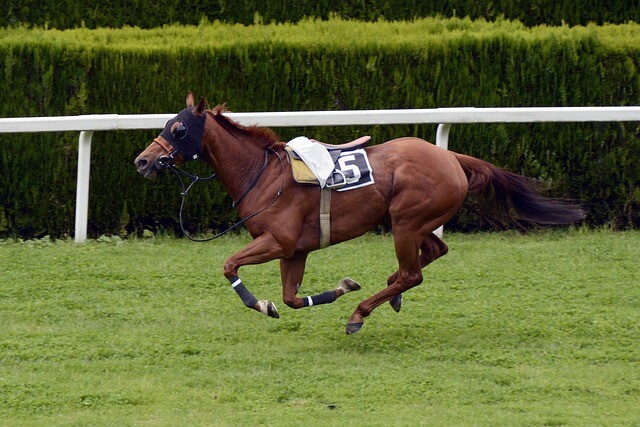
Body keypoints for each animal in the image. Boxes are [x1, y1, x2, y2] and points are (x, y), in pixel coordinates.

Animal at [134, 93, 584, 334]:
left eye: (178, 128)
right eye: (168, 123)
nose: (143, 161)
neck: (264, 174)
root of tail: (451, 156)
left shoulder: (276, 240)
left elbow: (230, 266)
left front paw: (261, 304)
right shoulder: (295, 250)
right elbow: (292, 298)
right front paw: (338, 288)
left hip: (406, 222)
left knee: (413, 273)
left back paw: (361, 313)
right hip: (414, 222)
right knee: (433, 253)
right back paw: (388, 294)